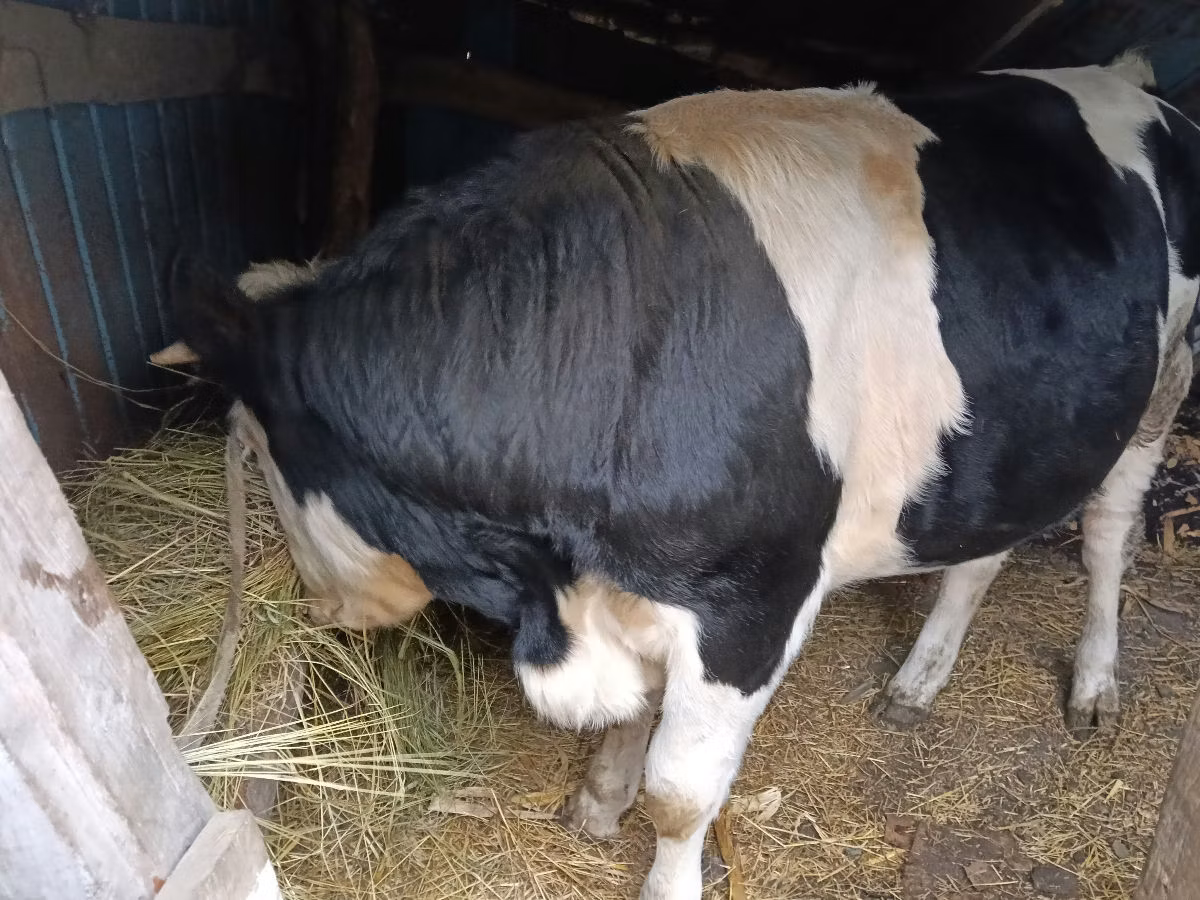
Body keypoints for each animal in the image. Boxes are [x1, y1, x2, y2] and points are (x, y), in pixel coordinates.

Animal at [162, 52, 1200, 899]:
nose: (324, 608)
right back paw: (919, 679)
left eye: (253, 450)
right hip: (1028, 433)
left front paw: (657, 857)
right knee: (987, 549)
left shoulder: (751, 606)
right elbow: (641, 719)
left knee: (1108, 534)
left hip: (1163, 381)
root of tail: (1131, 78)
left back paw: (1095, 685)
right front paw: (598, 797)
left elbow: (681, 796)